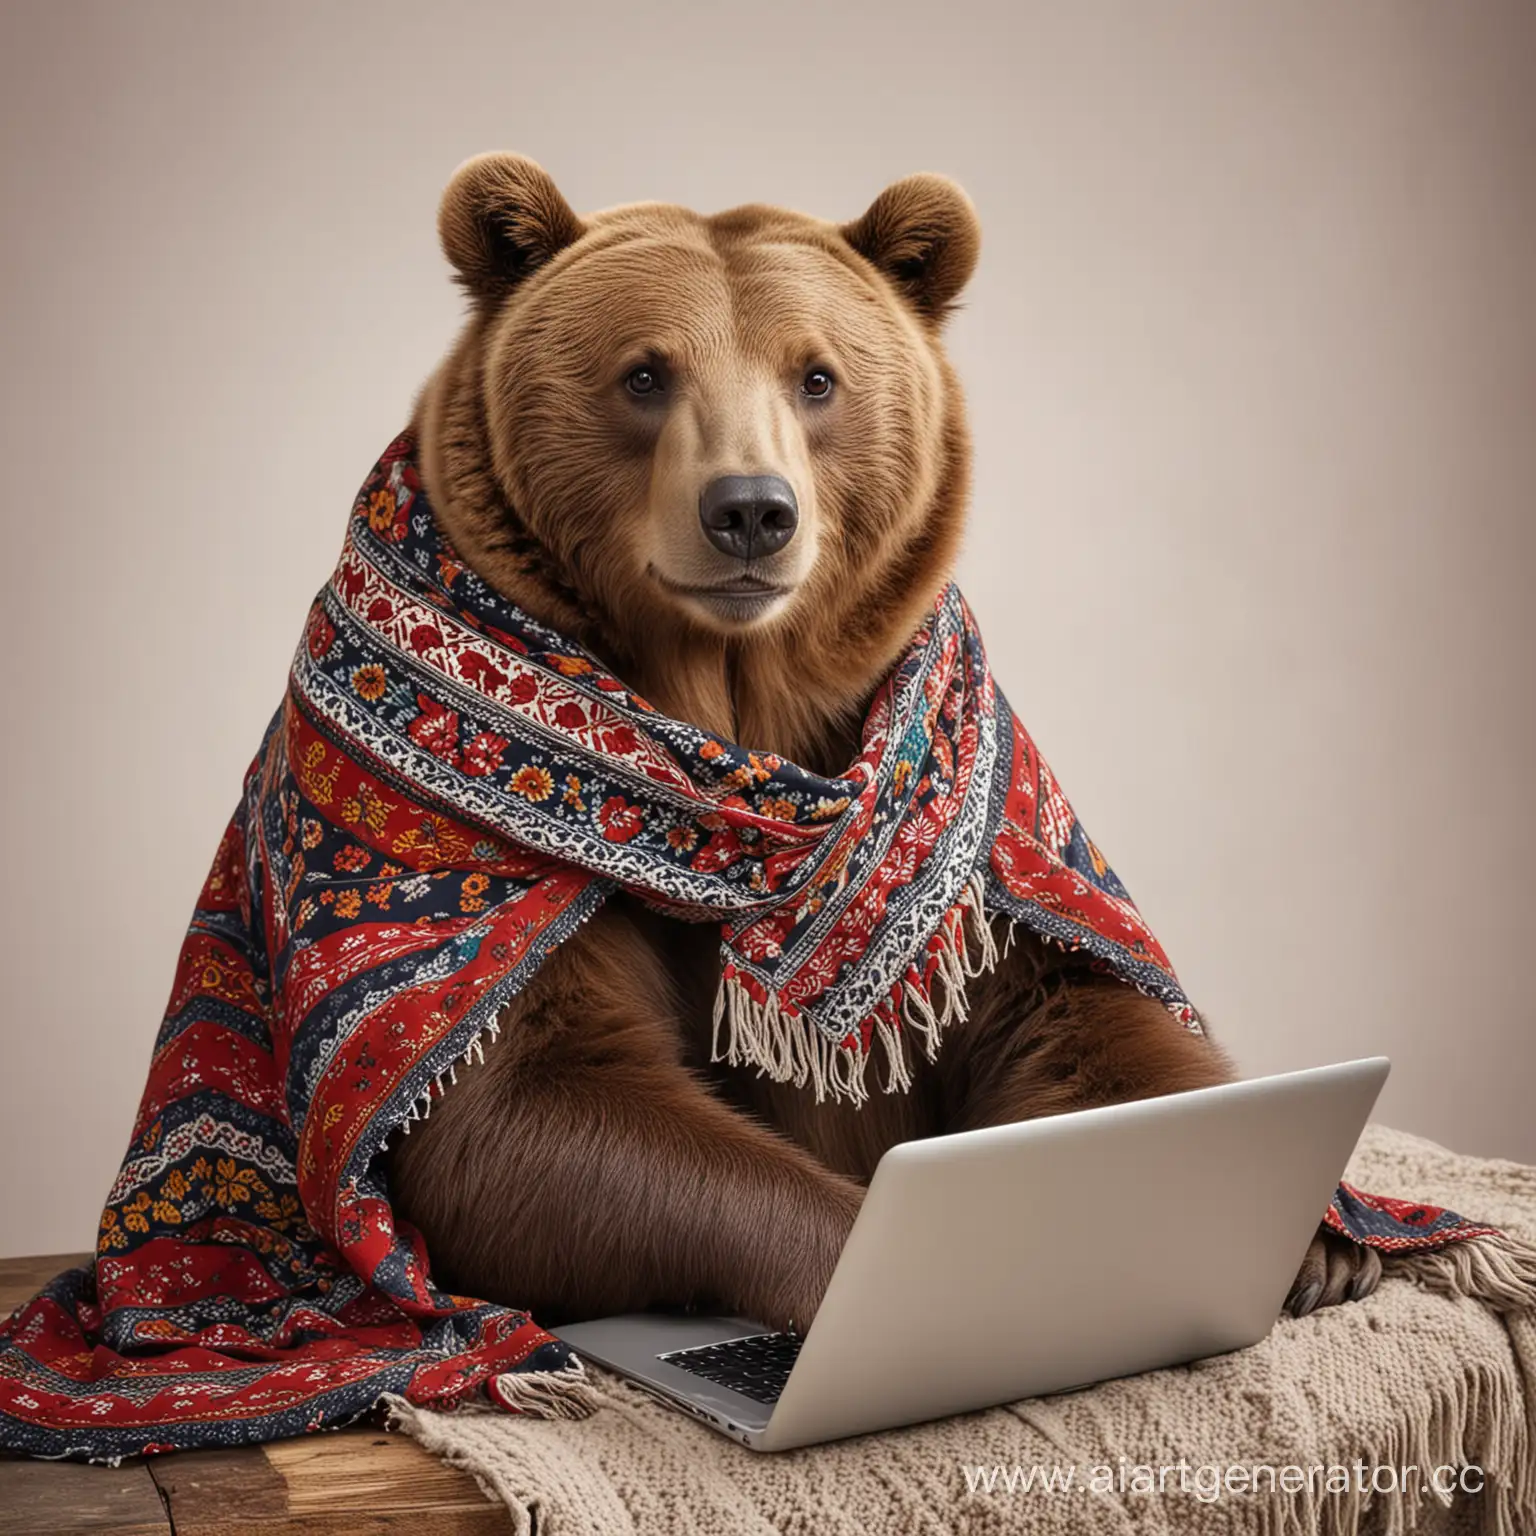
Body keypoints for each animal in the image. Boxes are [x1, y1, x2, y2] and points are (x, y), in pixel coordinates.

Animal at [390, 152, 1376, 1333]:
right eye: (644, 374)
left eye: (817, 378)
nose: (751, 510)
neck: (735, 707)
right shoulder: (479, 863)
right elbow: (521, 1097)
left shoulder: (970, 807)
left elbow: (1073, 999)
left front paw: (1319, 1243)